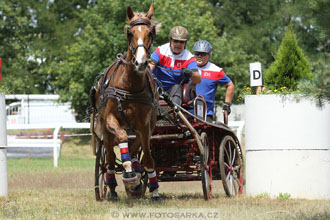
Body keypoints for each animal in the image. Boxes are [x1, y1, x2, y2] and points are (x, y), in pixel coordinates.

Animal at [89, 3, 160, 202]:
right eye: (130, 32)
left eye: (150, 32)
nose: (141, 62)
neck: (130, 87)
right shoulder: (110, 120)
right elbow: (121, 138)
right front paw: (128, 174)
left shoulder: (145, 126)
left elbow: (147, 158)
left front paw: (154, 190)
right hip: (105, 131)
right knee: (110, 160)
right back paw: (112, 187)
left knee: (135, 150)